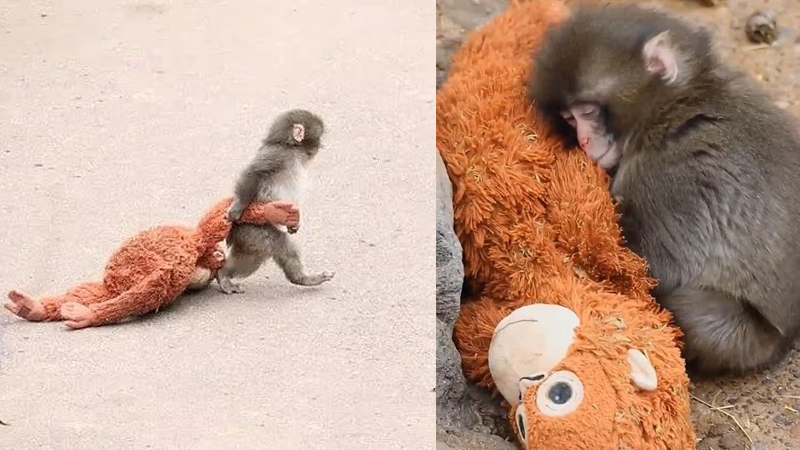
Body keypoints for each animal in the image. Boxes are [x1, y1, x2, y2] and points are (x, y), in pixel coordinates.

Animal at [216, 109, 335, 294]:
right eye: (319, 137)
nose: (321, 146)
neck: (290, 148)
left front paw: (294, 224)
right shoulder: (277, 155)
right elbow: (254, 173)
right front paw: (237, 207)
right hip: (253, 230)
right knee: (272, 246)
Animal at [528, 4, 800, 376]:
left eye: (587, 111)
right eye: (570, 118)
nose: (583, 140)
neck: (673, 107)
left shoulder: (668, 177)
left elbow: (658, 266)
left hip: (746, 340)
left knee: (694, 312)